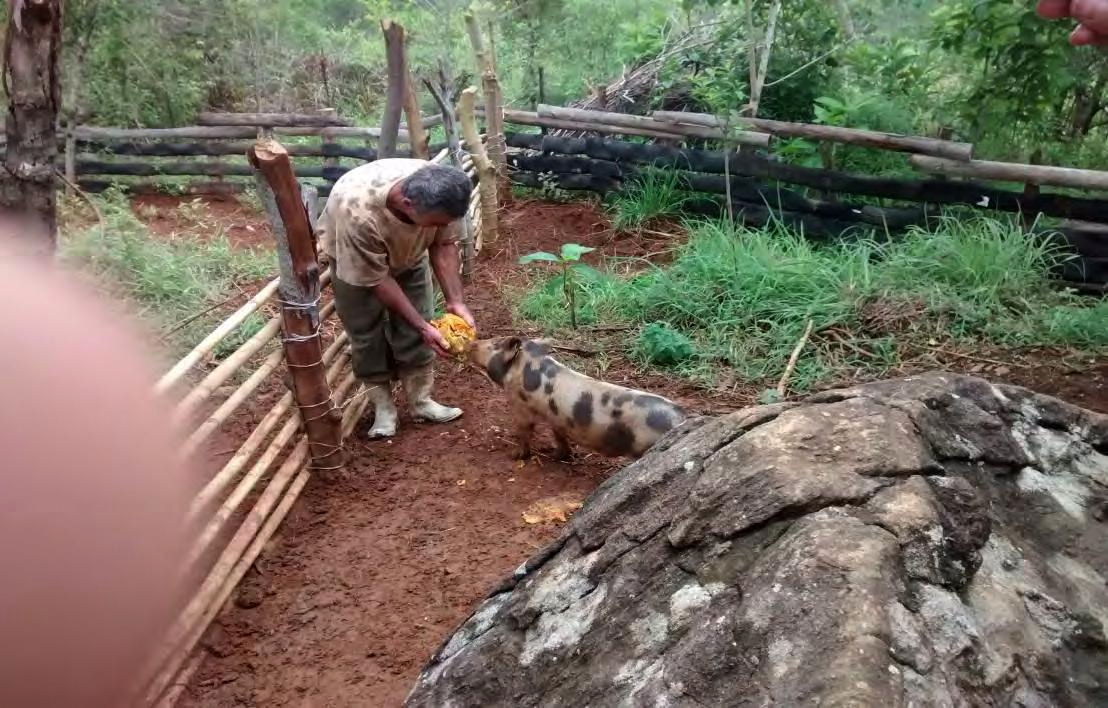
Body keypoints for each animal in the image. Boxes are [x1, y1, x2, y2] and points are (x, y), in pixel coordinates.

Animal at [465, 336, 682, 463]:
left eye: (494, 344)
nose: (471, 343)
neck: (526, 366)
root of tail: (680, 418)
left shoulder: (520, 406)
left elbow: (524, 432)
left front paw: (515, 456)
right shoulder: (556, 417)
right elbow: (559, 435)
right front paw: (559, 456)